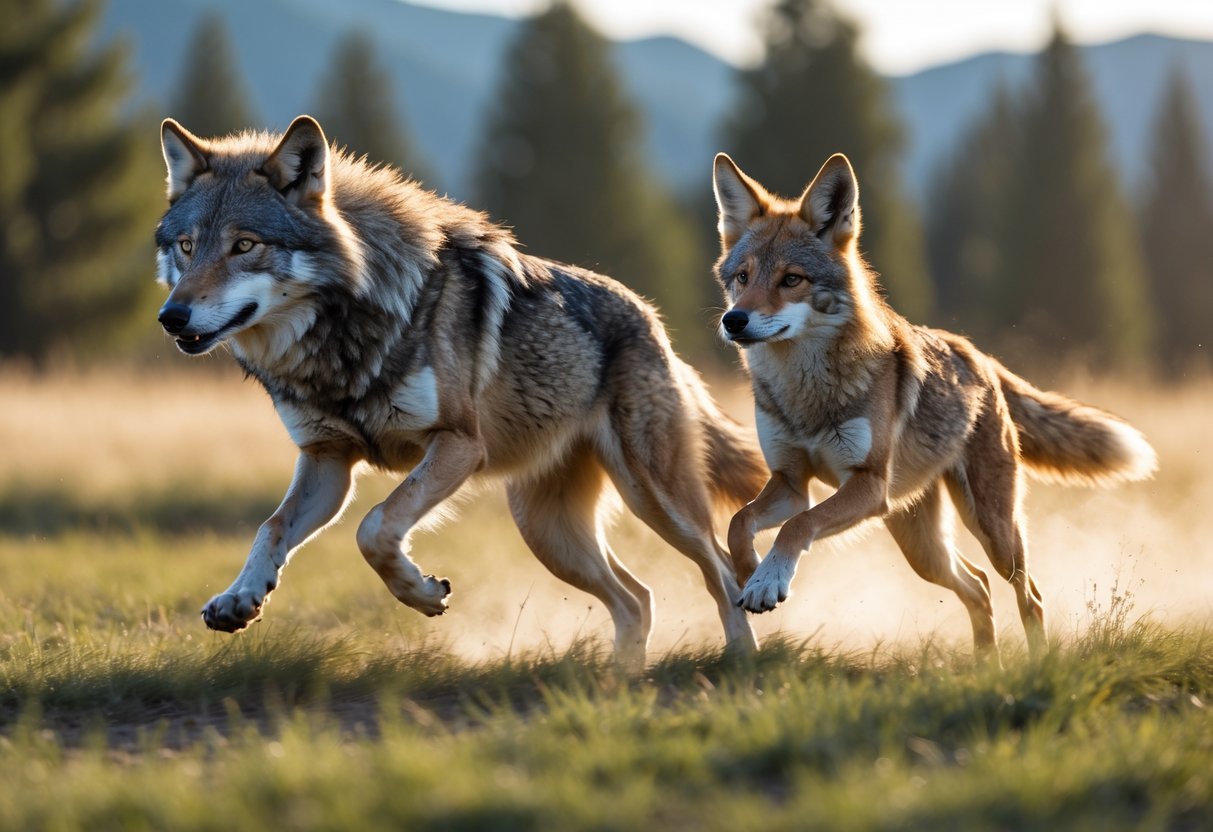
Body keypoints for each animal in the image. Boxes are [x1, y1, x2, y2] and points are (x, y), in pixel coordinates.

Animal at [153, 115, 768, 666]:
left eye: (244, 245)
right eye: (186, 246)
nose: (171, 316)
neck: (340, 343)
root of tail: (651, 317)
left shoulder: (457, 445)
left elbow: (375, 527)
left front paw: (421, 593)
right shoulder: (328, 460)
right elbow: (272, 528)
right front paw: (240, 597)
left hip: (655, 500)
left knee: (720, 570)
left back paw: (741, 662)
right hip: (548, 533)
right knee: (637, 598)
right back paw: (620, 681)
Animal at [712, 152, 1157, 657]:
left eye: (791, 279)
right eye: (743, 277)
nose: (734, 320)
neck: (804, 392)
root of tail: (976, 353)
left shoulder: (866, 485)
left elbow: (796, 527)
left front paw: (768, 579)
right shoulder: (791, 482)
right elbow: (739, 522)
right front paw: (753, 574)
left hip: (991, 530)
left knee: (1029, 594)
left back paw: (1035, 662)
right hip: (922, 548)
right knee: (979, 587)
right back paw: (988, 665)